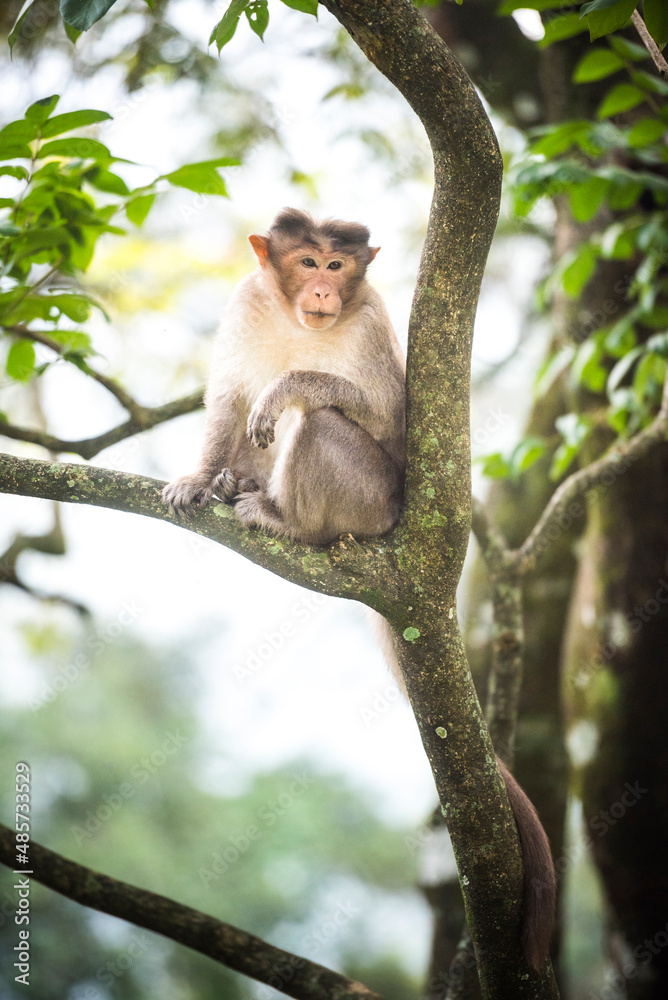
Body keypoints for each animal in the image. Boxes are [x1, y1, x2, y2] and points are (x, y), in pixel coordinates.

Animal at [162, 207, 406, 544]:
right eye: (308, 263)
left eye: (335, 265)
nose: (322, 291)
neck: (295, 321)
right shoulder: (246, 298)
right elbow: (229, 396)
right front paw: (201, 479)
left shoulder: (372, 321)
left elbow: (389, 414)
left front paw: (281, 389)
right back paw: (234, 486)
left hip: (371, 501)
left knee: (321, 423)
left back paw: (290, 522)